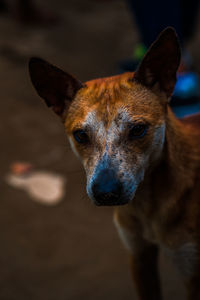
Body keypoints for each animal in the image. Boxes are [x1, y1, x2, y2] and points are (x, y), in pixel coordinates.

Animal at [28, 27, 200, 298]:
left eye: (138, 130)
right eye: (80, 135)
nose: (106, 193)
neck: (147, 205)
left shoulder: (192, 270)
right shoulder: (139, 257)